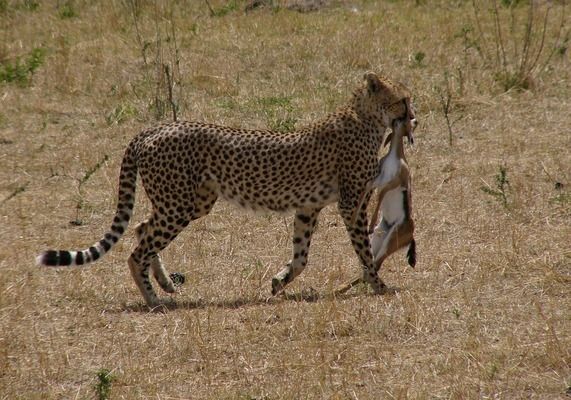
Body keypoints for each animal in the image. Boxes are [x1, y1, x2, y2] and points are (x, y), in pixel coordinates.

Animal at [36, 71, 416, 306]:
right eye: (403, 100)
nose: (413, 117)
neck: (365, 117)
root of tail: (155, 128)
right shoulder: (351, 204)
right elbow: (364, 251)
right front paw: (378, 286)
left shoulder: (308, 207)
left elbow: (301, 256)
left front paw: (279, 281)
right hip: (178, 205)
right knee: (137, 250)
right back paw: (153, 299)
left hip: (191, 202)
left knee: (143, 228)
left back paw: (165, 283)